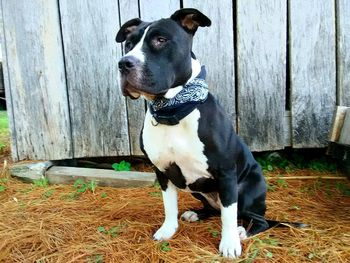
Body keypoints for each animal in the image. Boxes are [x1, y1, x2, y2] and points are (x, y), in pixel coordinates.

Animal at [116, 8, 270, 260]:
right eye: (128, 44)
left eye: (160, 40)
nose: (124, 63)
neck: (172, 110)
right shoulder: (162, 171)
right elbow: (169, 205)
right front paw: (168, 230)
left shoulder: (226, 173)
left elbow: (229, 215)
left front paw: (229, 244)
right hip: (201, 191)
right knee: (216, 210)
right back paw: (197, 214)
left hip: (247, 188)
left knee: (255, 219)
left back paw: (243, 231)